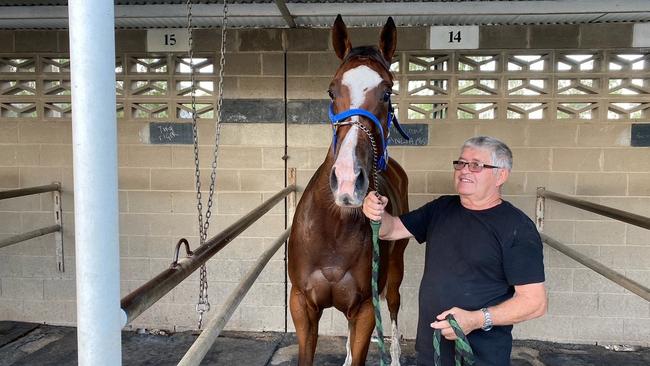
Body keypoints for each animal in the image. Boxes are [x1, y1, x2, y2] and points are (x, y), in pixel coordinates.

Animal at [288, 15, 410, 366]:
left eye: (387, 92)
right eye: (332, 90)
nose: (346, 181)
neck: (333, 227)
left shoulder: (366, 308)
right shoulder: (301, 305)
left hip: (396, 269)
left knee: (394, 304)